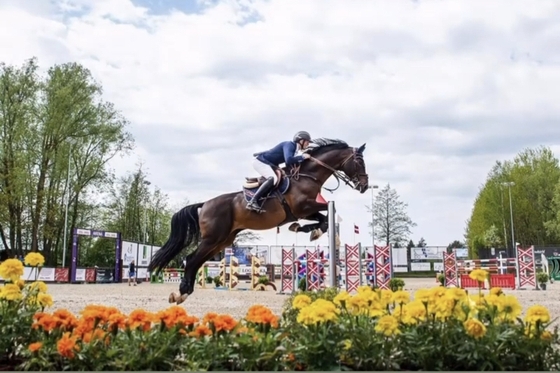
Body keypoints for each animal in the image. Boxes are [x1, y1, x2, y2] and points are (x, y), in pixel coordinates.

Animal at [147, 138, 370, 304]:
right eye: (359, 161)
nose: (365, 186)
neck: (308, 176)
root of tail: (205, 204)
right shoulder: (304, 207)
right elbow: (326, 214)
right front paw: (310, 230)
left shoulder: (306, 210)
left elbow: (323, 219)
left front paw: (305, 229)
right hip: (213, 238)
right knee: (192, 259)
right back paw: (182, 293)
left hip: (223, 240)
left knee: (197, 260)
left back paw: (182, 293)